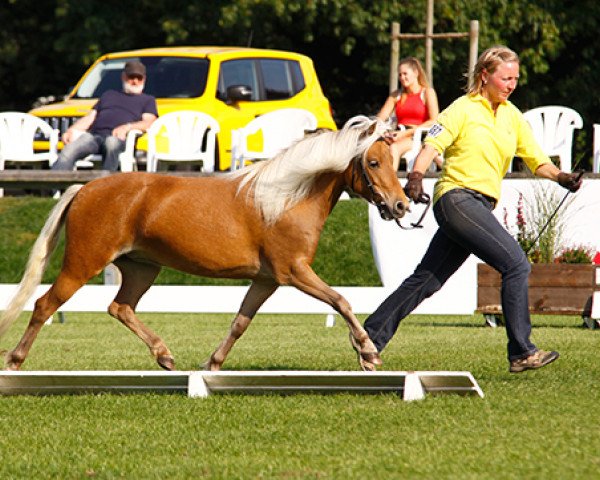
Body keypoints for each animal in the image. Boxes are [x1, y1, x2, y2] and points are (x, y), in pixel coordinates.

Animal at [0, 115, 408, 372]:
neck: (286, 198)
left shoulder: (267, 280)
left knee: (120, 307)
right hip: (83, 264)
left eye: (394, 161)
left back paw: (165, 356)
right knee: (44, 304)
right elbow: (341, 300)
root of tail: (83, 189)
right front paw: (368, 352)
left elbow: (241, 322)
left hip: (142, 269)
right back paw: (15, 361)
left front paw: (212, 363)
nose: (401, 205)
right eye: (373, 162)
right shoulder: (294, 272)